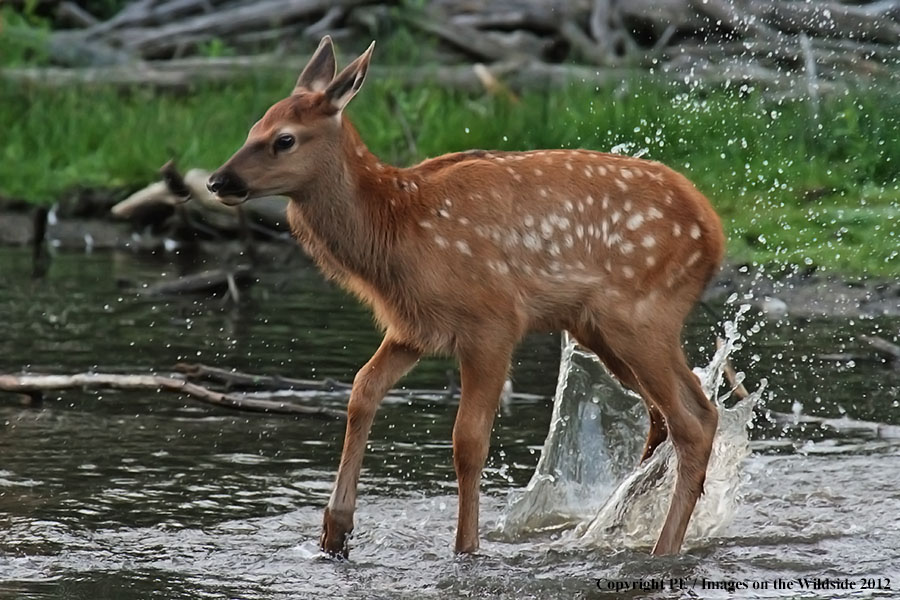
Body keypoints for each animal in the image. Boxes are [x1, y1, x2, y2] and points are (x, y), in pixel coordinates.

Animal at [209, 35, 724, 556]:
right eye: (253, 127)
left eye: (284, 139)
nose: (217, 180)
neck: (395, 230)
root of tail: (713, 229)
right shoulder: (413, 327)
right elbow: (361, 390)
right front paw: (335, 530)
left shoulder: (491, 321)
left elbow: (468, 440)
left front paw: (466, 547)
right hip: (599, 327)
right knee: (670, 415)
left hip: (639, 315)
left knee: (693, 420)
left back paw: (662, 548)